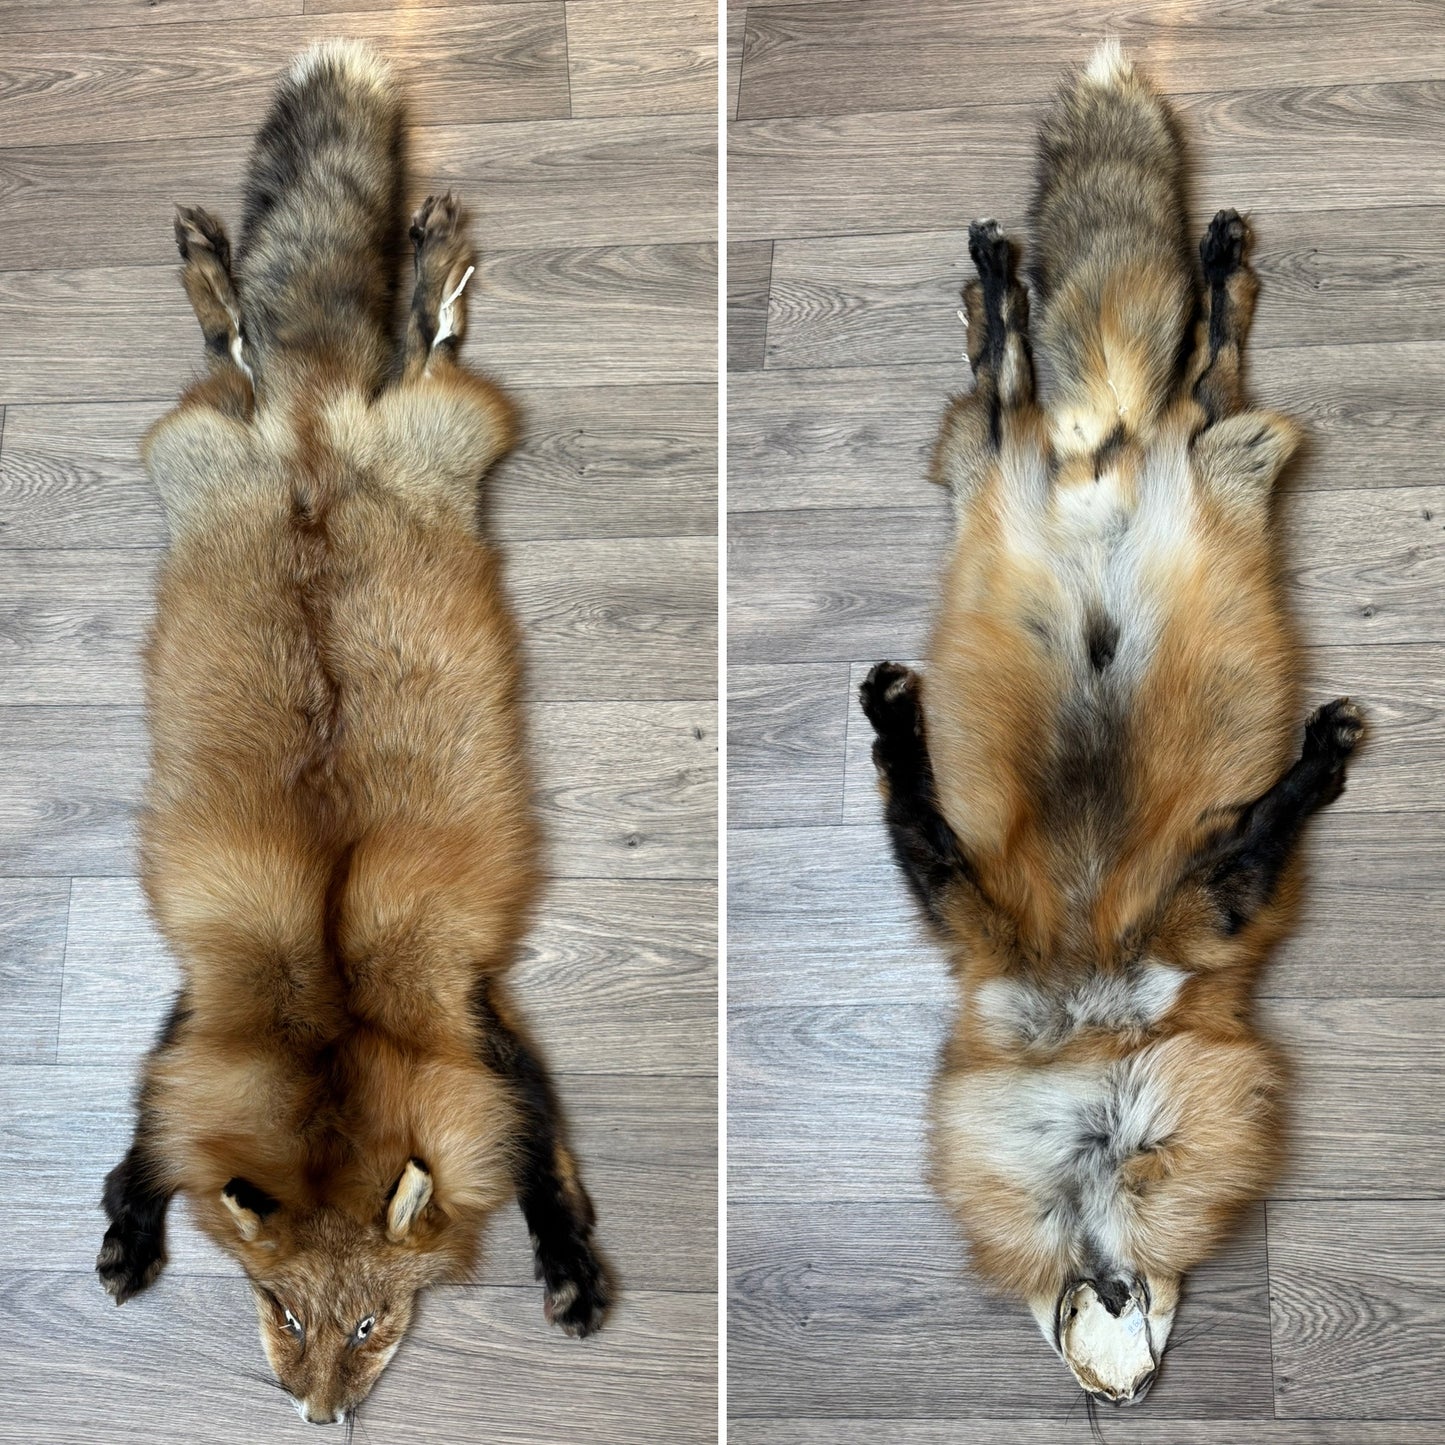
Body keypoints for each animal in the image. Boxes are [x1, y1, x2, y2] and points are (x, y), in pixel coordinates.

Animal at [95, 41, 609, 1425]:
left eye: (373, 1322)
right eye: (279, 1309)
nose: (320, 1416)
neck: (327, 1005)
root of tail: (315, 429)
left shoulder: (473, 1014)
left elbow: (541, 1148)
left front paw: (570, 1262)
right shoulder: (200, 1002)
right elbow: (153, 1113)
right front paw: (129, 1219)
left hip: (440, 425)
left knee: (406, 346)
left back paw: (423, 259)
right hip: (210, 439)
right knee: (243, 350)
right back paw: (216, 265)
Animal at [860, 40, 1362, 1405]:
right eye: (1107, 1330)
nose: (1122, 1317)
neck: (1093, 1002)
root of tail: (1107, 443)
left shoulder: (1200, 912)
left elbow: (1271, 812)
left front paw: (1318, 754)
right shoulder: (997, 914)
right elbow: (910, 805)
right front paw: (885, 723)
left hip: (1217, 462)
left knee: (1191, 368)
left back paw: (1190, 261)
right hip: (1046, 458)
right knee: (1029, 385)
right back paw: (1008, 285)